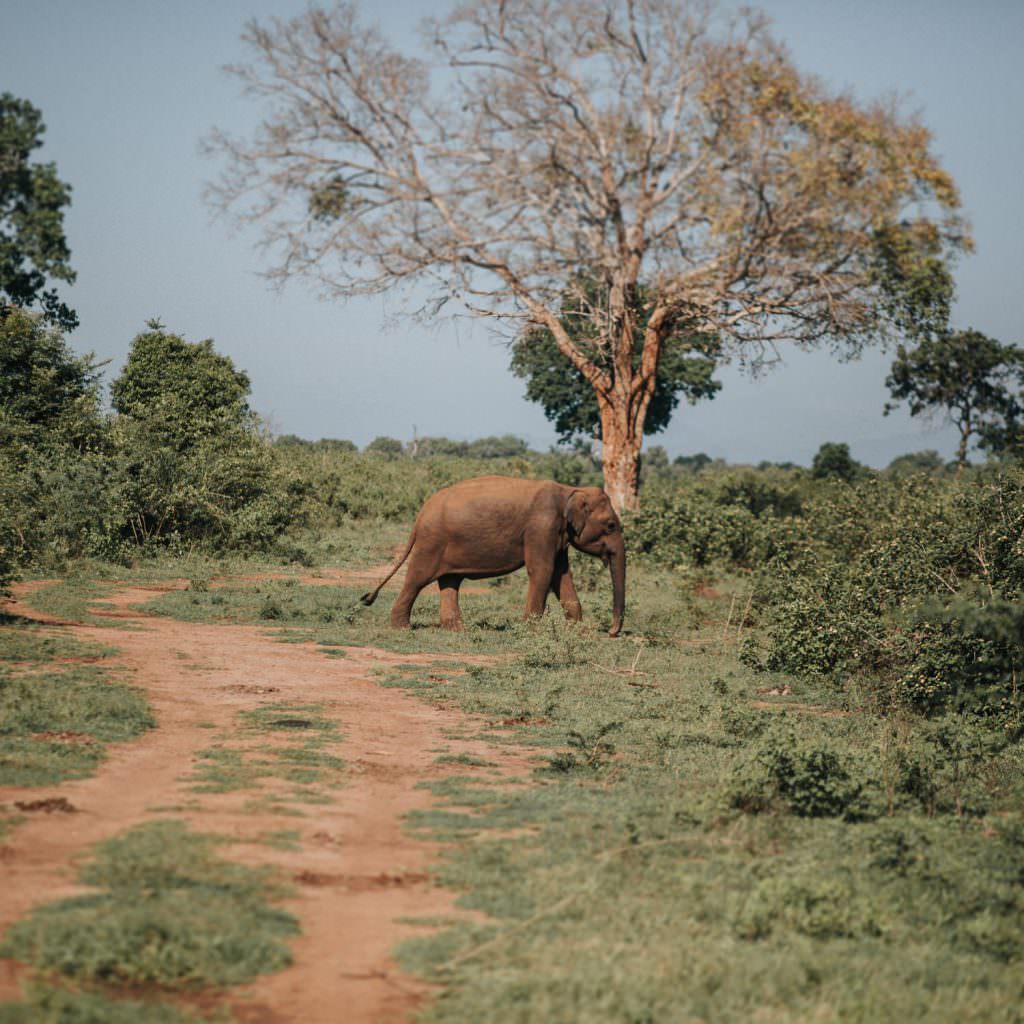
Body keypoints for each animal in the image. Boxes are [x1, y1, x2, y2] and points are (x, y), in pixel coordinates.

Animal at [364, 475, 626, 634]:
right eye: (611, 525)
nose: (611, 632)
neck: (569, 490)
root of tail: (420, 514)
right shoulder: (541, 528)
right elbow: (543, 571)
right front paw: (530, 630)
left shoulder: (557, 535)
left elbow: (560, 576)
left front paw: (577, 630)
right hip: (432, 541)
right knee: (417, 579)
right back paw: (402, 628)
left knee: (450, 581)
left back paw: (457, 630)